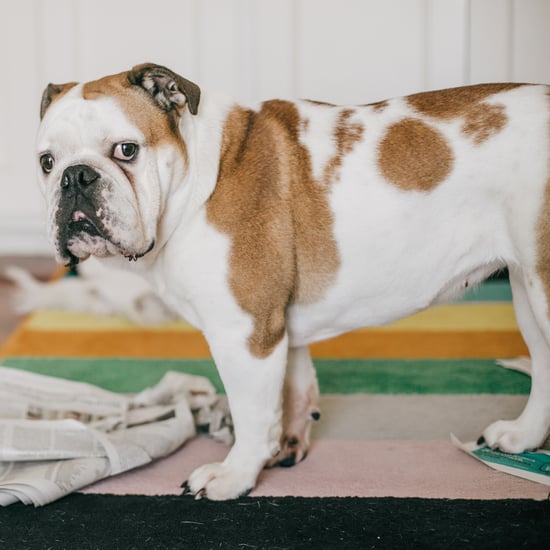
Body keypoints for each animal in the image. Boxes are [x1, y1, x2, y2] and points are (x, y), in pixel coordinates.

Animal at [36, 63, 550, 500]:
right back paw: (522, 436)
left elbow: (251, 411)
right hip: (527, 291)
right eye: (46, 161)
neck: (199, 179)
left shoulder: (244, 332)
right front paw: (286, 443)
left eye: (127, 150)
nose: (75, 177)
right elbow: (292, 388)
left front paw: (235, 474)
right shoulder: (277, 327)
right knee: (543, 365)